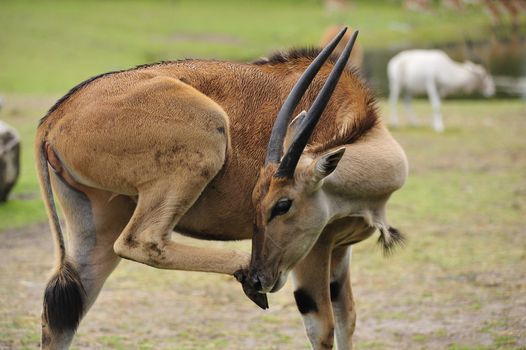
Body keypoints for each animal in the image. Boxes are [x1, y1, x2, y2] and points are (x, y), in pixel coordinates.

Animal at [36, 28, 408, 348]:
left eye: (280, 204)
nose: (260, 277)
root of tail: (54, 118)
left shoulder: (340, 252)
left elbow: (347, 320)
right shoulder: (315, 251)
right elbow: (323, 328)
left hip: (93, 232)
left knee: (61, 315)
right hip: (204, 140)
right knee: (142, 241)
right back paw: (241, 267)